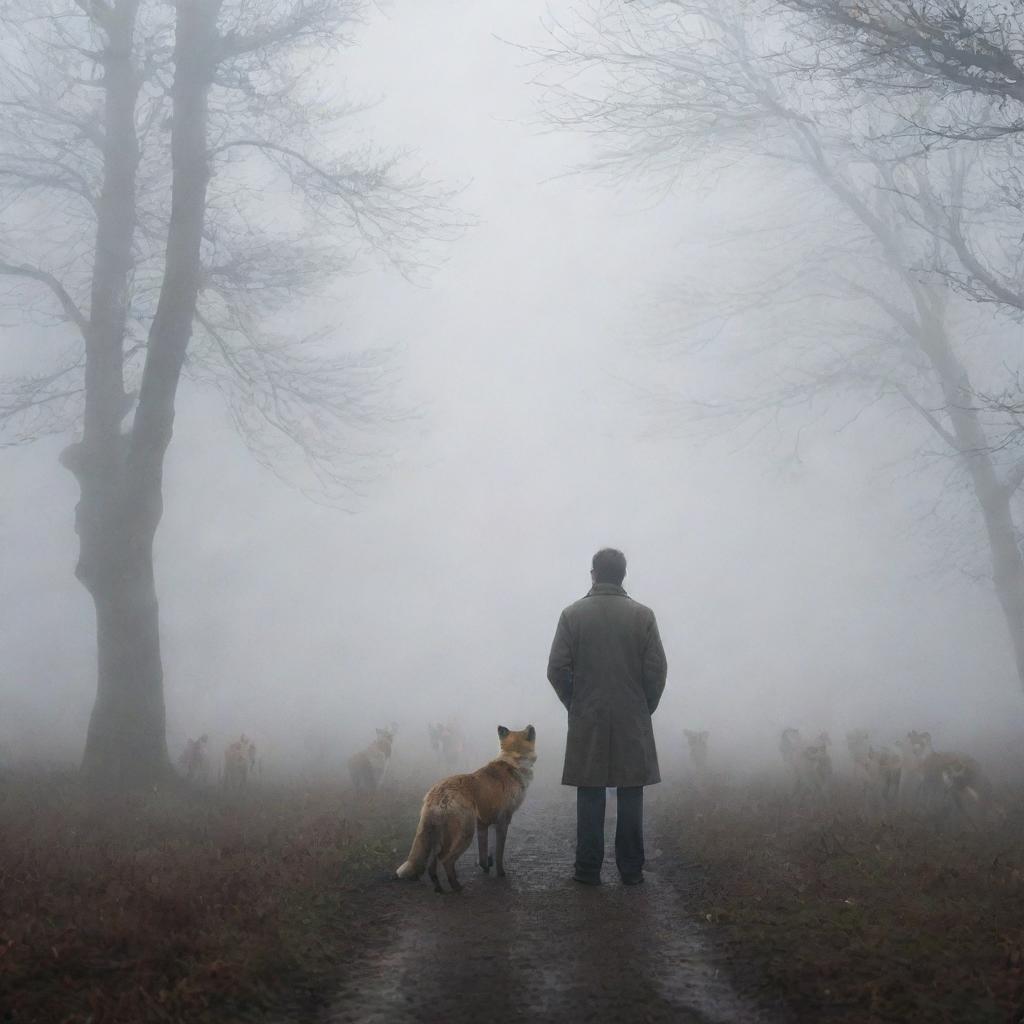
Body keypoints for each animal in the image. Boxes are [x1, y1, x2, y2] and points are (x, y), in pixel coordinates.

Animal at [395, 724, 536, 892]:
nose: (530, 725)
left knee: (433, 862)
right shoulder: (503, 821)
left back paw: (439, 888)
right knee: (446, 860)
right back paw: (457, 887)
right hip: (466, 834)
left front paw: (486, 867)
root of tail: (438, 793)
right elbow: (498, 854)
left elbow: (484, 852)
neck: (513, 761)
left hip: (443, 835)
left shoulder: (484, 823)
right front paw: (500, 873)